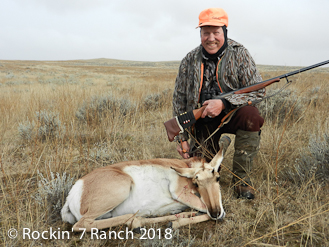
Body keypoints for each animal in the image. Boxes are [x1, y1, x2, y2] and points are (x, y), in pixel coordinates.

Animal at [62, 137, 231, 232]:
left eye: (217, 178)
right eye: (196, 182)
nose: (216, 211)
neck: (185, 165)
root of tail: (74, 193)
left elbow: (208, 212)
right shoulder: (179, 192)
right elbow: (205, 210)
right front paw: (177, 223)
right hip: (122, 188)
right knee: (81, 224)